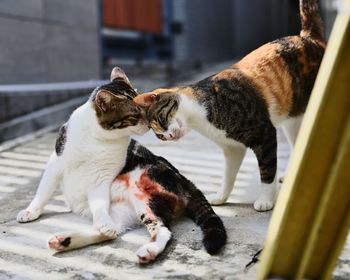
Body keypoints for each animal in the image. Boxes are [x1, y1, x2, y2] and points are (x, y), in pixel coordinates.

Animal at [16, 66, 226, 264]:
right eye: (134, 114)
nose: (149, 124)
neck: (98, 139)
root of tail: (186, 180)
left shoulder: (101, 179)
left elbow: (99, 204)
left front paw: (103, 222)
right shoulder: (56, 164)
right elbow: (43, 192)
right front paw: (30, 211)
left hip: (143, 196)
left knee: (163, 231)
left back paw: (147, 251)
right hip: (123, 211)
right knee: (114, 231)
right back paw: (65, 240)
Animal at [134, 0, 326, 211]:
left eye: (161, 119)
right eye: (160, 137)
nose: (168, 136)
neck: (200, 112)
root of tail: (308, 36)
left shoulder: (264, 133)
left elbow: (267, 171)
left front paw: (266, 200)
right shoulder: (232, 148)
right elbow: (228, 176)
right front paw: (221, 196)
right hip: (292, 118)